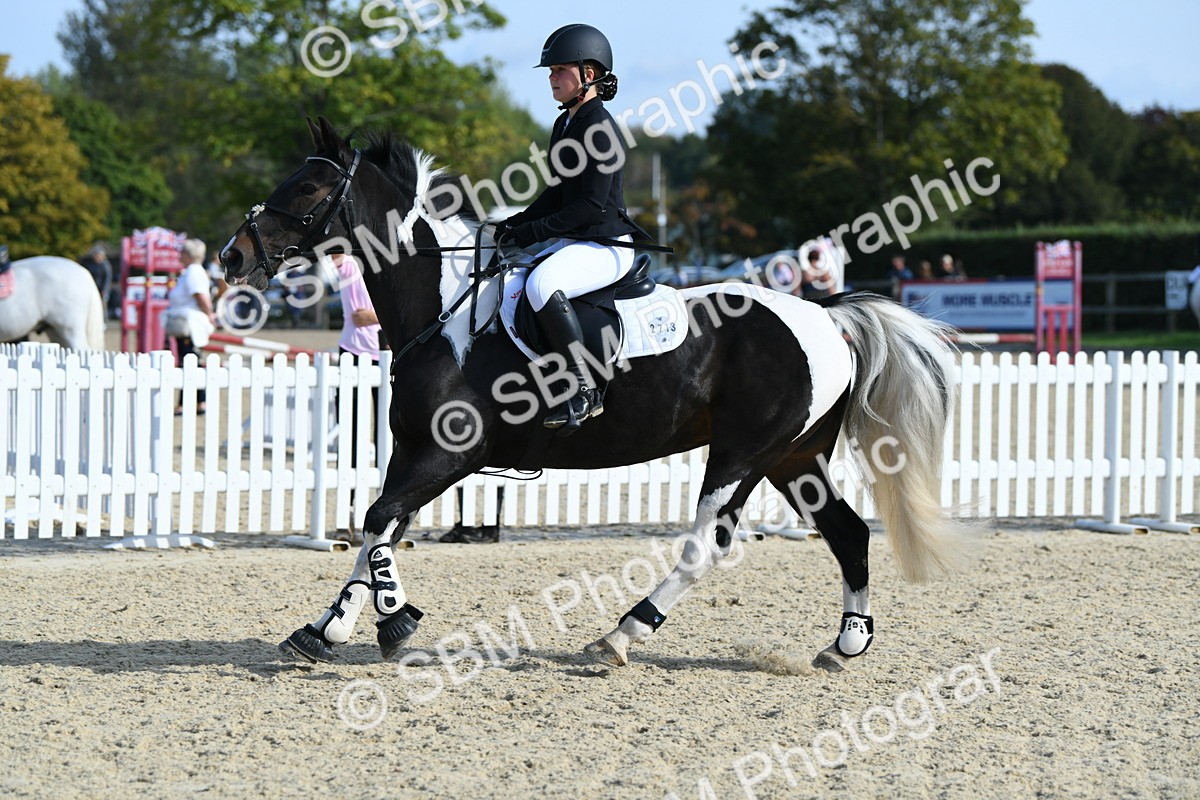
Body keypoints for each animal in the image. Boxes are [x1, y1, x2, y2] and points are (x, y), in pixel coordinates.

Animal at [220, 116, 968, 671]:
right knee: (846, 532)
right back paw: (845, 644)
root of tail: (823, 314)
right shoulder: (414, 455)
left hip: (742, 455)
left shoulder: (449, 456)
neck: (444, 309)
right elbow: (377, 531)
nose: (232, 255)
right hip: (794, 457)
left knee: (708, 545)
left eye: (309, 187)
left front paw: (393, 621)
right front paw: (329, 628)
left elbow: (378, 523)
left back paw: (621, 635)